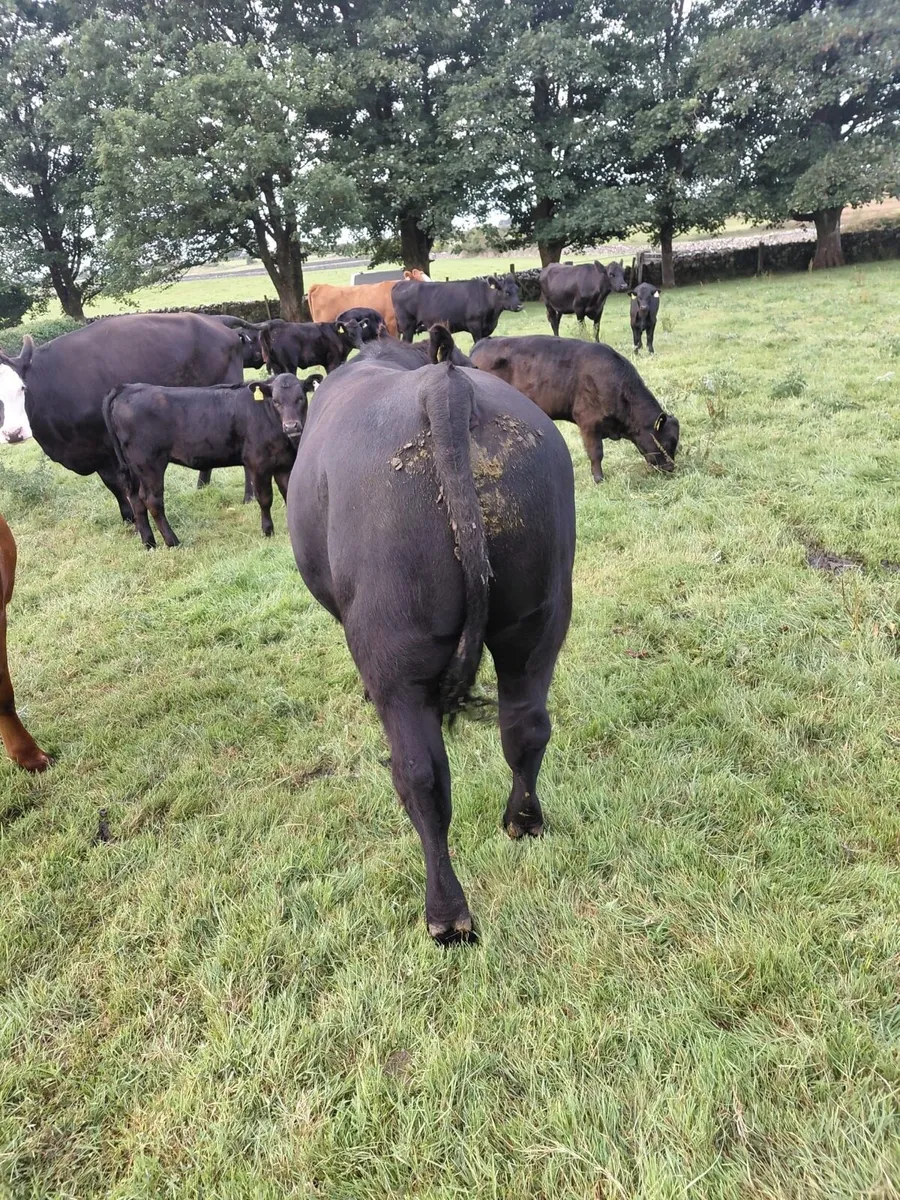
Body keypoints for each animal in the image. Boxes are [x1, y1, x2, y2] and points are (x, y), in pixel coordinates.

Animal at [0, 314, 246, 521]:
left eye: (22, 388)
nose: (13, 433)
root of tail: (217, 323)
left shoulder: (110, 446)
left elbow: (120, 483)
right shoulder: (94, 450)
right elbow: (112, 485)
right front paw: (128, 517)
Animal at [103, 373, 320, 549]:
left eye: (300, 398)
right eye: (276, 401)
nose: (291, 426)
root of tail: (127, 388)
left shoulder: (284, 465)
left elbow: (288, 492)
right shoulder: (258, 464)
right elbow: (265, 498)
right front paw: (268, 531)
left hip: (134, 468)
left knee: (136, 499)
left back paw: (149, 543)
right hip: (149, 464)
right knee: (152, 500)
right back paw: (173, 541)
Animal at [287, 326, 575, 943]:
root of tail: (445, 392)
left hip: (396, 647)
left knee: (421, 776)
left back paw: (447, 916)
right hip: (537, 620)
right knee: (527, 727)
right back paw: (523, 822)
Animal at [392, 275, 522, 344]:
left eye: (517, 290)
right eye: (507, 292)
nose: (520, 306)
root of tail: (399, 284)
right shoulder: (474, 325)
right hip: (407, 325)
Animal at [470, 335, 679, 482]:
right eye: (668, 442)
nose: (671, 468)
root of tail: (482, 343)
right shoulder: (588, 422)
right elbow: (596, 453)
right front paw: (599, 479)